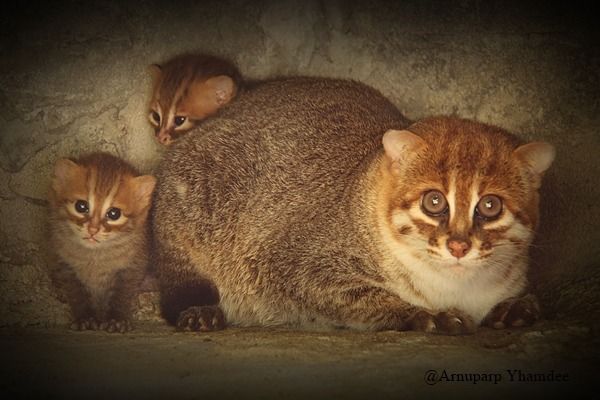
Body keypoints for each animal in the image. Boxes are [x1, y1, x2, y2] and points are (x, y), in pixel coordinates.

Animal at [48, 152, 156, 332]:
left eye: (114, 214)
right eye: (81, 206)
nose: (93, 229)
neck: (95, 257)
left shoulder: (132, 268)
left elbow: (122, 294)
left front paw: (117, 319)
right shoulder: (64, 265)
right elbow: (77, 294)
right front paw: (84, 318)